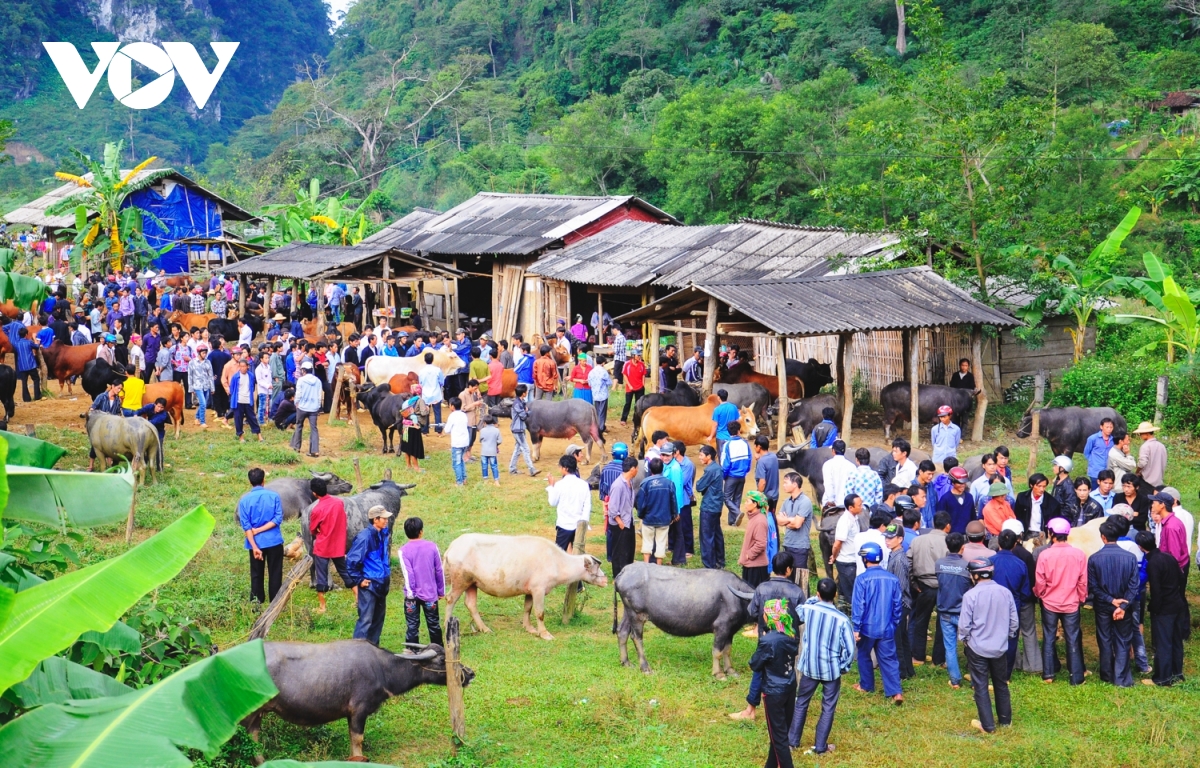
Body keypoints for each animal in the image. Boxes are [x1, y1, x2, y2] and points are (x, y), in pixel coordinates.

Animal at [241, 643, 470, 763]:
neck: (381, 668)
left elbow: (353, 740)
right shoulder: (359, 711)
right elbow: (358, 739)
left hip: (257, 714)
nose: (470, 673)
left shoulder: (351, 715)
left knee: (253, 738)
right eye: (441, 660)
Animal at [444, 530, 609, 638]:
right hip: (460, 580)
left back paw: (485, 629)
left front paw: (530, 629)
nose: (606, 580)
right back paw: (446, 625)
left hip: (472, 583)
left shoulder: (530, 591)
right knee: (450, 599)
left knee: (470, 604)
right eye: (595, 567)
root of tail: (451, 547)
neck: (556, 562)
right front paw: (544, 634)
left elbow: (527, 609)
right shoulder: (539, 589)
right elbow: (540, 613)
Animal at [614, 564, 753, 676]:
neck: (738, 598)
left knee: (622, 631)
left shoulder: (731, 630)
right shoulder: (721, 627)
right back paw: (645, 668)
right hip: (637, 615)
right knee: (636, 638)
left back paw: (625, 662)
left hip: (628, 611)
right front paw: (718, 674)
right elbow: (717, 651)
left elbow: (727, 650)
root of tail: (623, 572)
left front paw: (731, 670)